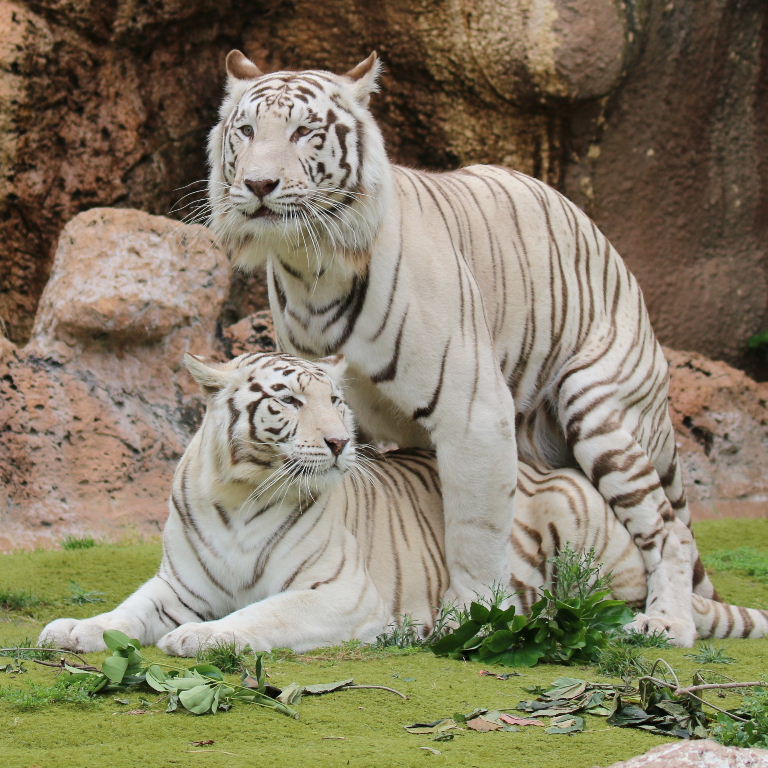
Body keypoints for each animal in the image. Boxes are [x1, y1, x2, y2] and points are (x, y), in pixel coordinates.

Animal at [40, 354, 768, 656]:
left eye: (336, 400)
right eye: (289, 400)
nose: (340, 442)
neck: (244, 492)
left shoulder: (338, 592)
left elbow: (263, 615)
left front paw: (203, 636)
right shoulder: (178, 583)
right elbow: (126, 613)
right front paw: (71, 631)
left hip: (584, 525)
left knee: (619, 595)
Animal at [206, 51, 708, 644]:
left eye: (304, 132)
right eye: (246, 130)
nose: (259, 183)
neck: (312, 267)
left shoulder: (473, 410)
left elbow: (476, 526)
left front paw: (475, 616)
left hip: (598, 405)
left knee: (668, 528)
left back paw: (667, 622)